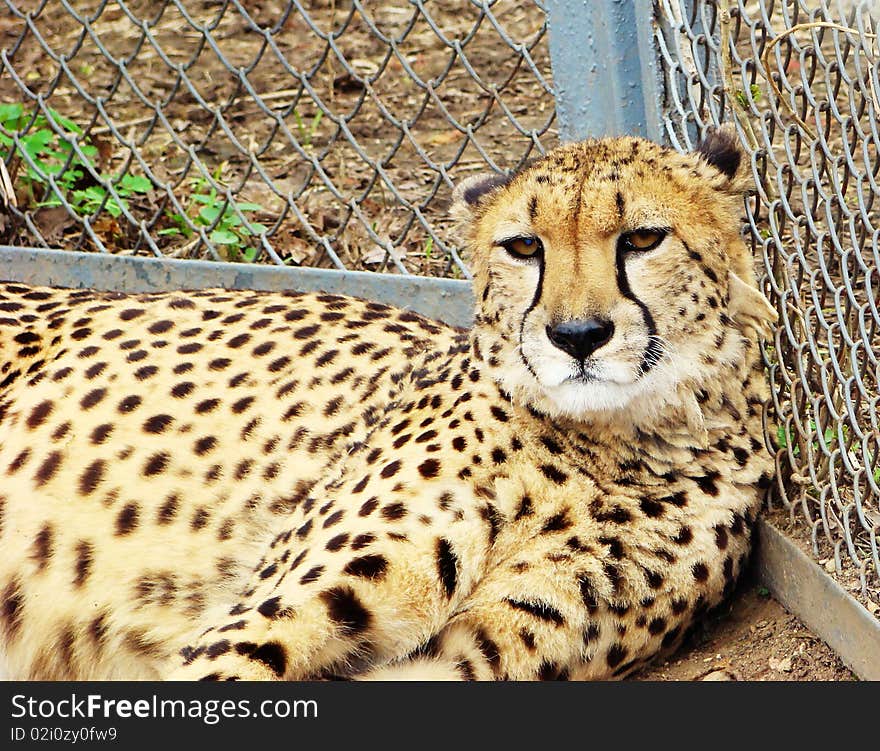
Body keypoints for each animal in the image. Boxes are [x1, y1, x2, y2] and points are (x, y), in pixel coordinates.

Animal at [0, 128, 776, 680]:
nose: (576, 336)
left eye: (643, 238)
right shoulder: (260, 621)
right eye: (524, 247)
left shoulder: (472, 656)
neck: (608, 444)